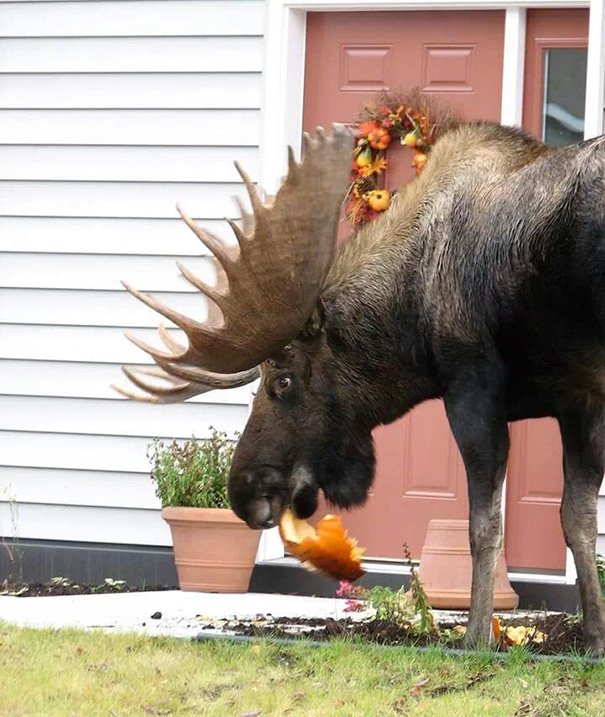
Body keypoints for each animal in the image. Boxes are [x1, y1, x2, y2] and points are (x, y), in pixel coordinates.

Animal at [116, 120, 605, 654]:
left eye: (282, 381)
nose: (243, 490)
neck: (409, 324)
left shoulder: (472, 389)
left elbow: (485, 528)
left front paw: (476, 638)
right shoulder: (581, 401)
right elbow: (578, 521)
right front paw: (595, 641)